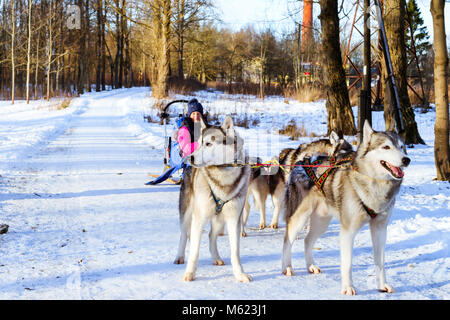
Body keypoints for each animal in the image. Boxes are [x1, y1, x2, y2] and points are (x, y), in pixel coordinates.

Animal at [173, 115, 253, 282]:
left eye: (209, 143)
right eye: (200, 143)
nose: (190, 158)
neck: (222, 174)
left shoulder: (234, 219)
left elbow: (235, 252)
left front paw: (239, 274)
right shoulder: (199, 218)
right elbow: (194, 250)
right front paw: (190, 273)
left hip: (219, 218)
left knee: (211, 235)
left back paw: (216, 257)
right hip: (187, 212)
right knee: (184, 234)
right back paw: (179, 256)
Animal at [282, 121, 412, 296]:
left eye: (401, 147)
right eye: (386, 147)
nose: (406, 159)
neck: (374, 183)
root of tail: (305, 160)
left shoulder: (380, 229)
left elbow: (380, 262)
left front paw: (382, 285)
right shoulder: (348, 232)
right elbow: (347, 264)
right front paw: (348, 287)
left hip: (321, 222)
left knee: (308, 240)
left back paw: (311, 266)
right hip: (299, 218)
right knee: (287, 241)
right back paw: (287, 267)